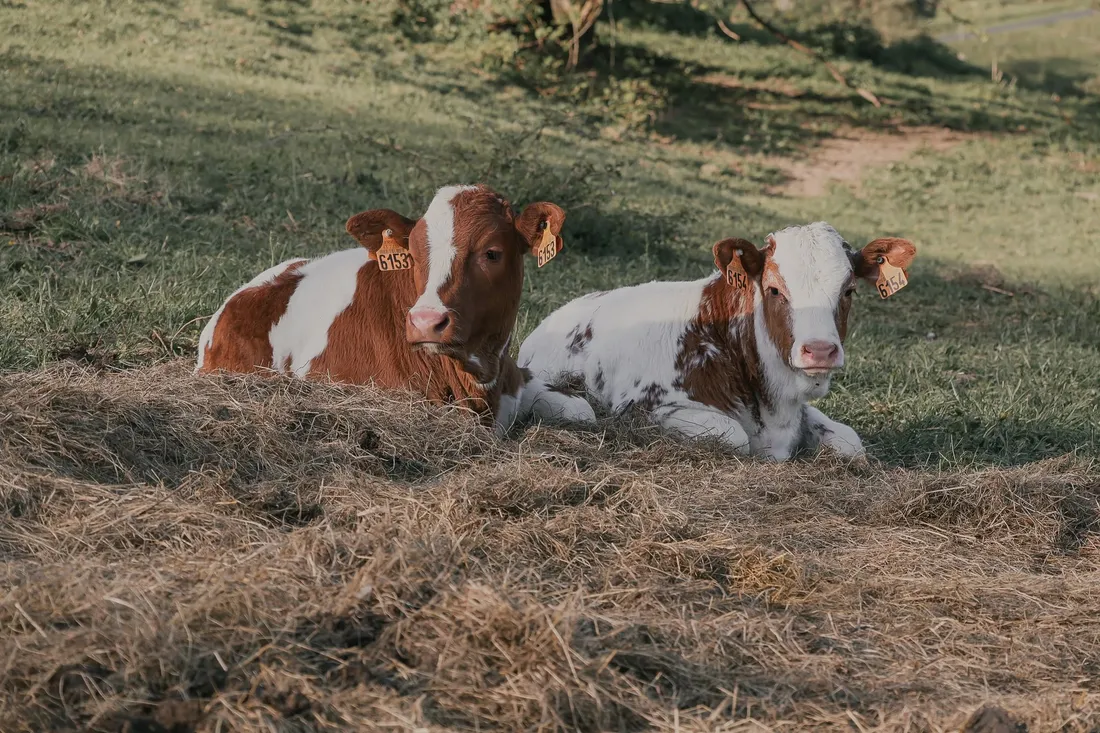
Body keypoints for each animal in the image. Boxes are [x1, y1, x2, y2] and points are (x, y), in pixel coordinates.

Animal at [518, 222, 917, 460]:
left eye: (849, 290)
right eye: (774, 289)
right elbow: (733, 435)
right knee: (578, 409)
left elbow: (850, 441)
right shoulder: (647, 408)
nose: (819, 350)